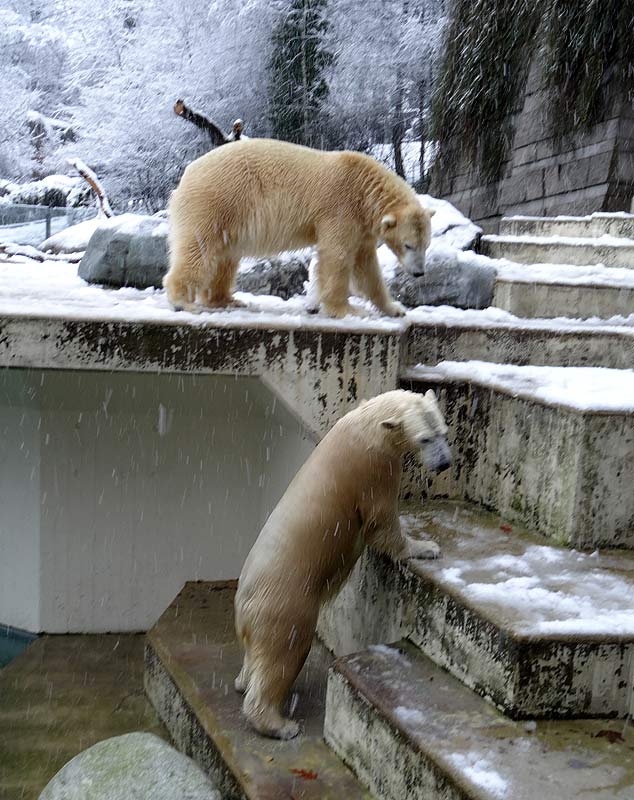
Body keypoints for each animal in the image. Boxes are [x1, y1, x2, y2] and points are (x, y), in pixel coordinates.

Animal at [162, 139, 434, 318]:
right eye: (408, 245)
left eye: (426, 245)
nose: (419, 273)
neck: (364, 188)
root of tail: (186, 175)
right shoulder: (340, 208)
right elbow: (337, 256)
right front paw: (347, 309)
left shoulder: (363, 226)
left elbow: (367, 267)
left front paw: (395, 308)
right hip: (216, 201)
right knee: (200, 249)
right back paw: (183, 302)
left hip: (228, 217)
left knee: (224, 258)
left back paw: (226, 300)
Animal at [232, 388, 450, 736]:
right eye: (425, 438)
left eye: (444, 431)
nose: (445, 463)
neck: (368, 422)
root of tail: (243, 605)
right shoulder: (373, 467)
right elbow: (381, 520)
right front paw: (425, 547)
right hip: (286, 603)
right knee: (285, 652)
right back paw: (280, 724)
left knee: (256, 656)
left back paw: (243, 682)